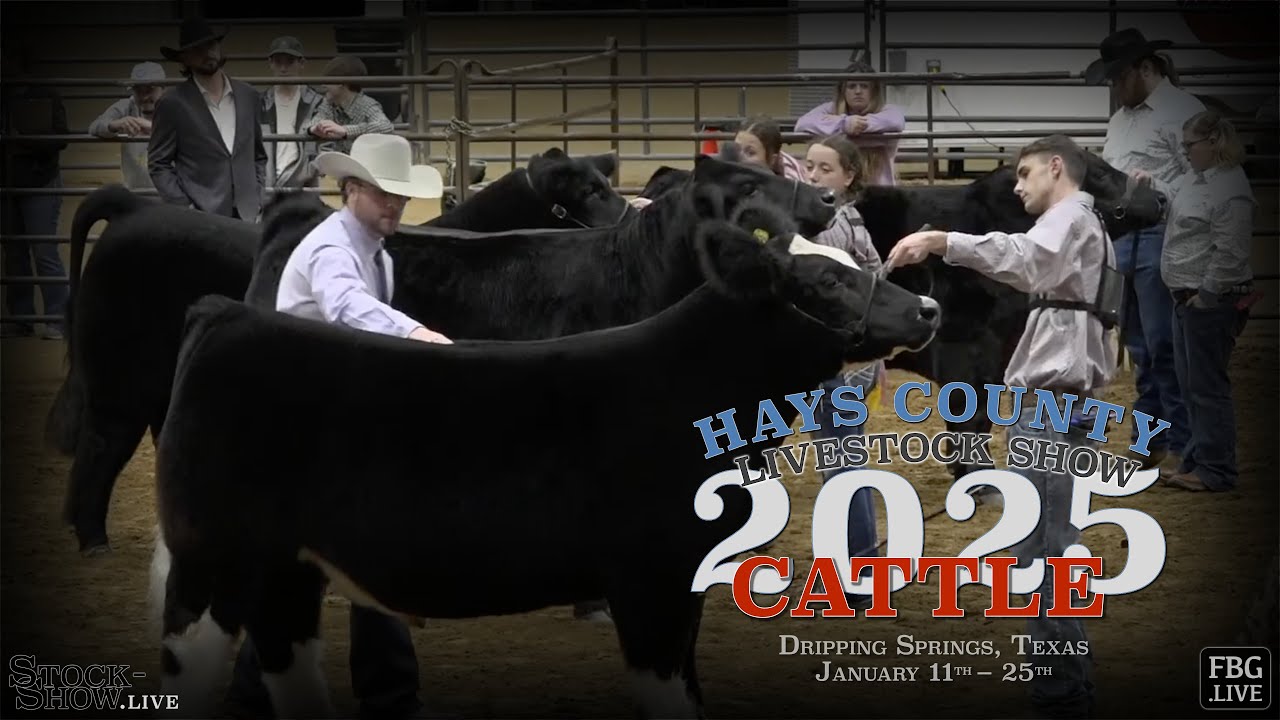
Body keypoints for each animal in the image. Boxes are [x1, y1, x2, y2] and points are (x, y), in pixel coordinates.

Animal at [149, 201, 941, 719]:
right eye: (827, 282)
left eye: (855, 263)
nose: (928, 310)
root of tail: (223, 315)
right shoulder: (650, 582)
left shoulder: (684, 583)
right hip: (213, 562)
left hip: (285, 571)